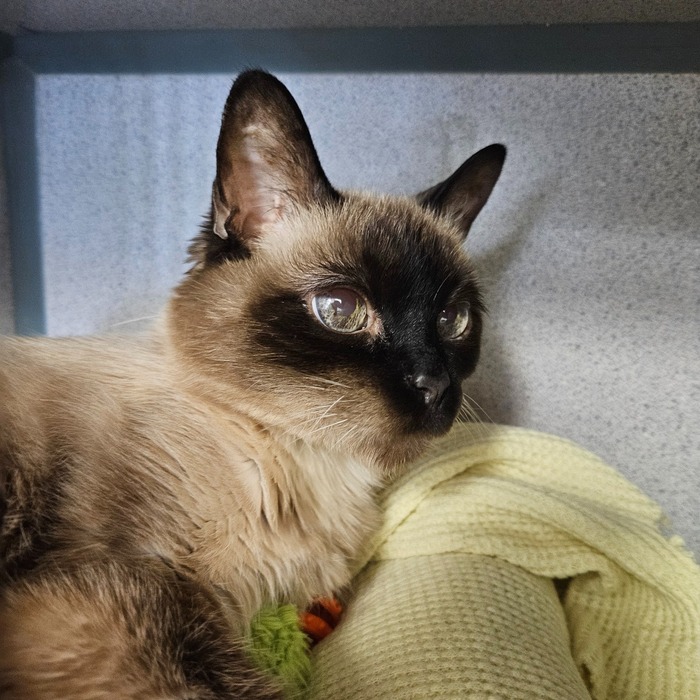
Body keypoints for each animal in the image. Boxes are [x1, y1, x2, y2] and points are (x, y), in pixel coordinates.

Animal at [0, 68, 504, 696]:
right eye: (341, 310)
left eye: (453, 321)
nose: (434, 383)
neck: (312, 468)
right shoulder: (131, 594)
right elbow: (220, 684)